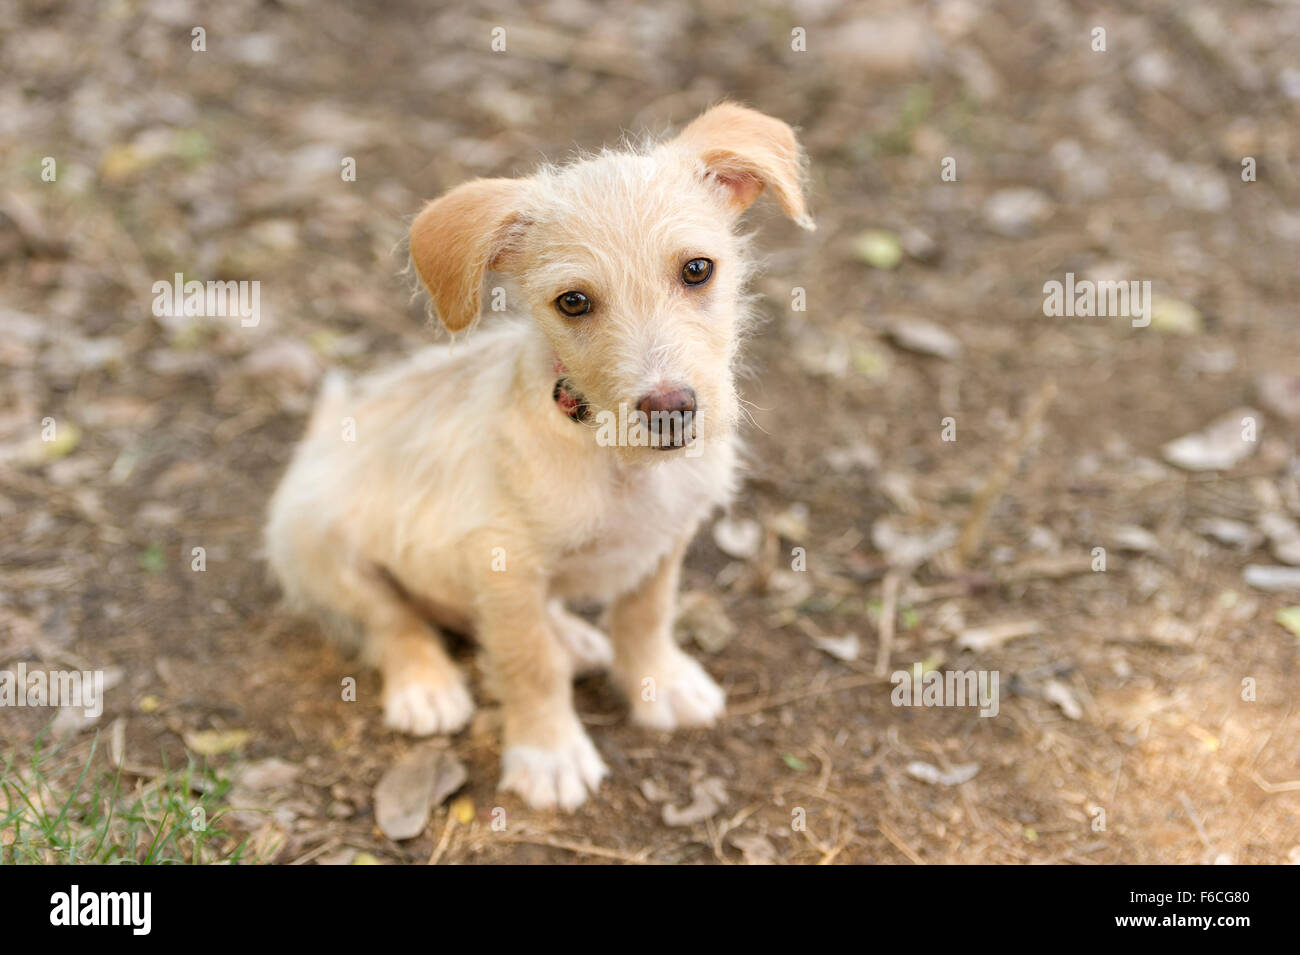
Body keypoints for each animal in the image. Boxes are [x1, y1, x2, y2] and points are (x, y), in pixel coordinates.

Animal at [263, 102, 811, 805]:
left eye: (697, 269)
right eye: (572, 302)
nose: (670, 409)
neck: (616, 463)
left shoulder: (666, 538)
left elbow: (646, 616)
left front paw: (659, 684)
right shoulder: (504, 564)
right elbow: (529, 663)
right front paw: (548, 755)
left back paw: (574, 637)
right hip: (320, 543)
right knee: (392, 621)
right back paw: (427, 685)